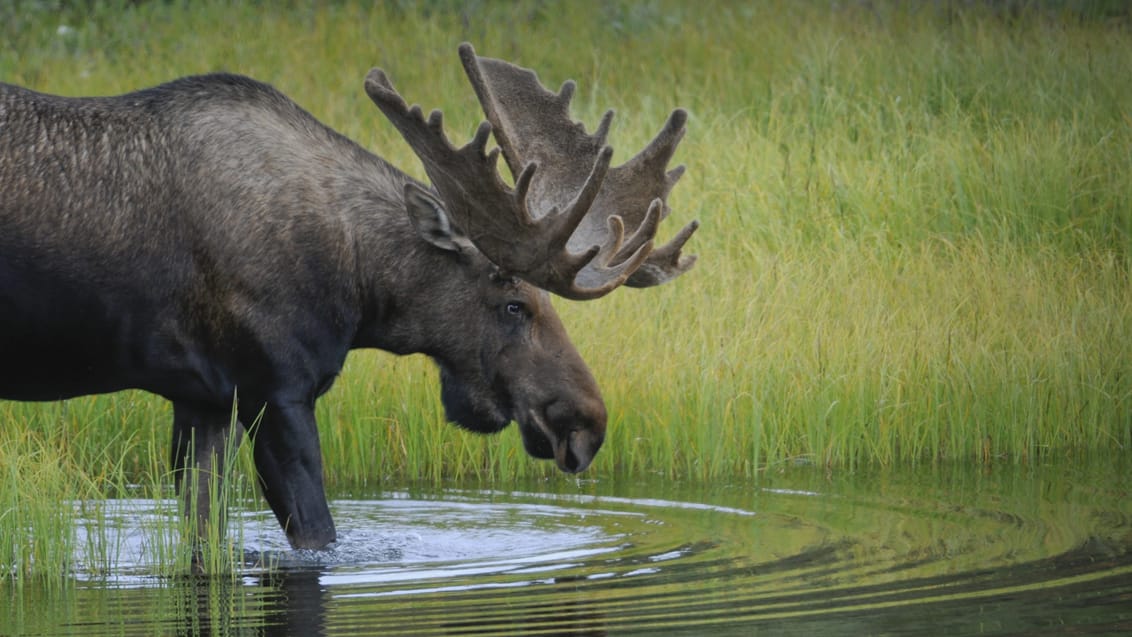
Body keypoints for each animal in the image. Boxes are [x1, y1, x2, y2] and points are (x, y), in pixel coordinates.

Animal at [0, 44, 692, 549]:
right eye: (514, 304)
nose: (586, 422)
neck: (358, 289)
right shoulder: (276, 391)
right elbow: (319, 540)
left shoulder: (203, 401)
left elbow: (202, 538)